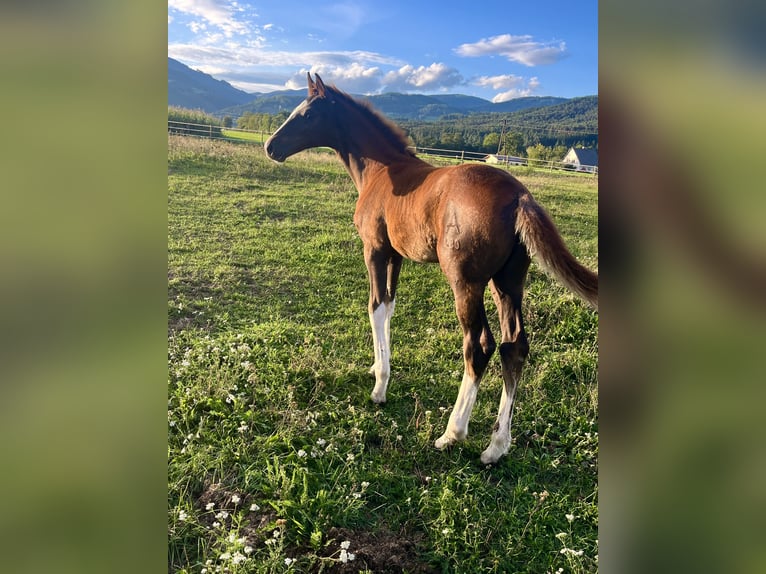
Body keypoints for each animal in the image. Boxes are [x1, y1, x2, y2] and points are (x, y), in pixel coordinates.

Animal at [265, 73, 597, 464]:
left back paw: (452, 433)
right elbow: (389, 306)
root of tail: (520, 197)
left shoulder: (374, 249)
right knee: (514, 346)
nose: (271, 146)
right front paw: (377, 366)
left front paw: (379, 388)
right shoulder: (395, 255)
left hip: (466, 281)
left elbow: (374, 306)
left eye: (307, 113)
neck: (382, 172)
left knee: (479, 345)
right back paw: (496, 446)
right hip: (508, 282)